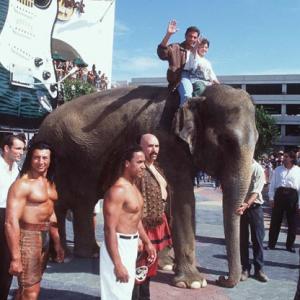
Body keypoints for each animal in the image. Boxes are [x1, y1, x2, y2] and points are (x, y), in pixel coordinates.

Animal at [37, 84, 258, 288]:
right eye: (226, 140)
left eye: (257, 138)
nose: (222, 279)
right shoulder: (168, 143)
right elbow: (183, 198)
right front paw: (193, 283)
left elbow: (168, 196)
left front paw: (166, 264)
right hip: (65, 159)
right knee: (64, 203)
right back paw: (62, 256)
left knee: (84, 201)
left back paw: (90, 253)